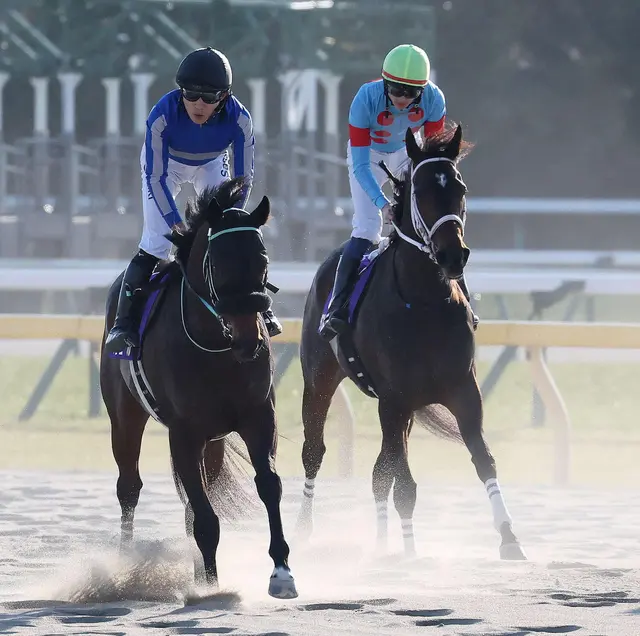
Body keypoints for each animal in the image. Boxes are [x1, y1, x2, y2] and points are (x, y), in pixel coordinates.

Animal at [100, 178, 298, 599]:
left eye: (263, 260)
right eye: (219, 264)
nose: (249, 341)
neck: (218, 349)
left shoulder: (258, 417)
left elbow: (267, 485)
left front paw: (281, 571)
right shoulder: (184, 433)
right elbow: (205, 518)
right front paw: (209, 586)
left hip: (215, 443)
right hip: (124, 418)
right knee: (129, 488)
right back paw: (124, 569)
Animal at [295, 125, 526, 561]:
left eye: (460, 187)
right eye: (420, 191)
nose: (454, 254)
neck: (423, 302)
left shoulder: (462, 391)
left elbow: (484, 460)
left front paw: (509, 537)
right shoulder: (394, 398)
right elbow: (404, 483)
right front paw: (410, 551)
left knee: (378, 472)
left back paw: (381, 540)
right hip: (319, 381)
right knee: (314, 452)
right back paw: (307, 529)